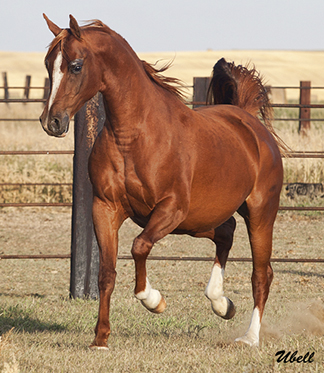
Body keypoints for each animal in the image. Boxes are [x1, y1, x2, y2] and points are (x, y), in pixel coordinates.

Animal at [39, 13, 284, 346]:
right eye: (47, 64)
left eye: (76, 66)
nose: (51, 121)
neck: (134, 137)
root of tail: (249, 123)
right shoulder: (105, 208)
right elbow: (106, 272)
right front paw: (100, 339)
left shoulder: (170, 208)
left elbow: (139, 246)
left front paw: (154, 300)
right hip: (197, 221)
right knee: (226, 232)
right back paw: (221, 303)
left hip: (258, 213)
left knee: (261, 273)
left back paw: (249, 337)